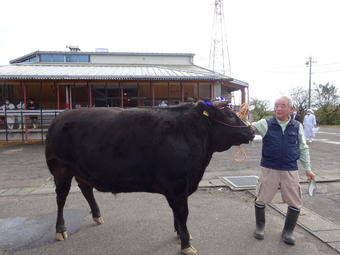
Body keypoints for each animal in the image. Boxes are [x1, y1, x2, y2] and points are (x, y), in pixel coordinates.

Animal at [45, 100, 254, 254]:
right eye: (230, 115)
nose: (251, 131)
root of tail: (61, 117)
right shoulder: (177, 185)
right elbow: (182, 212)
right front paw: (186, 244)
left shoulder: (178, 187)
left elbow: (177, 213)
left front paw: (179, 234)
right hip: (61, 169)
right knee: (61, 198)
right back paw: (60, 230)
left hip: (80, 171)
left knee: (86, 189)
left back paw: (97, 216)